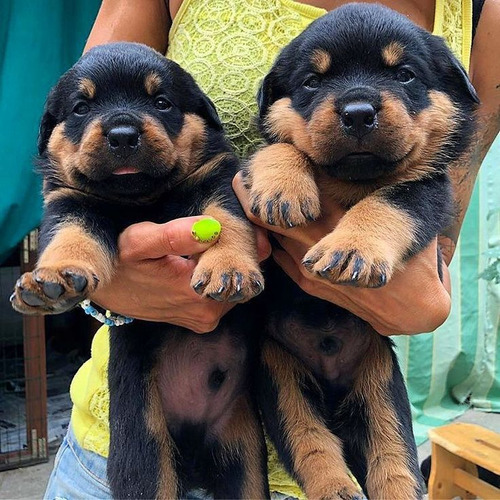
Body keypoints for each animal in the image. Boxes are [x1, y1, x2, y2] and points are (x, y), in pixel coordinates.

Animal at [10, 44, 270, 500]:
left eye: (161, 102)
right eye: (81, 107)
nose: (122, 134)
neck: (143, 199)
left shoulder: (217, 180)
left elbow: (226, 221)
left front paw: (230, 269)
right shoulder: (70, 202)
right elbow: (70, 236)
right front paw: (51, 279)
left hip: (244, 457)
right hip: (143, 451)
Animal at [248, 3, 478, 500]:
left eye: (405, 74)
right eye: (312, 82)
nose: (357, 113)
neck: (352, 181)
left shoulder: (429, 191)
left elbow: (388, 201)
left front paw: (352, 249)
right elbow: (281, 149)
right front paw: (282, 188)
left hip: (382, 385)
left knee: (392, 456)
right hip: (280, 376)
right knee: (311, 442)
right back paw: (335, 485)